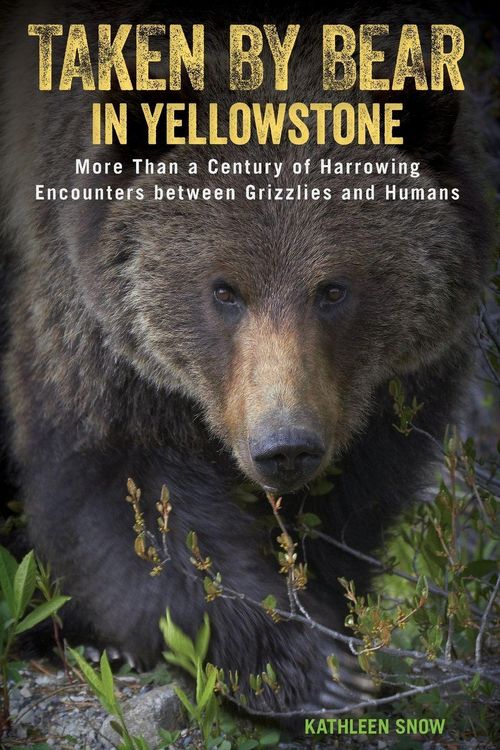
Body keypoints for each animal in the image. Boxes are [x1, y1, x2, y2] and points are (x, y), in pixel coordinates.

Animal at [0, 0, 492, 717]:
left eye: (333, 289)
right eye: (224, 290)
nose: (284, 446)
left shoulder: (384, 390)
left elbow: (355, 496)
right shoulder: (93, 331)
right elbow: (126, 493)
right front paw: (301, 665)